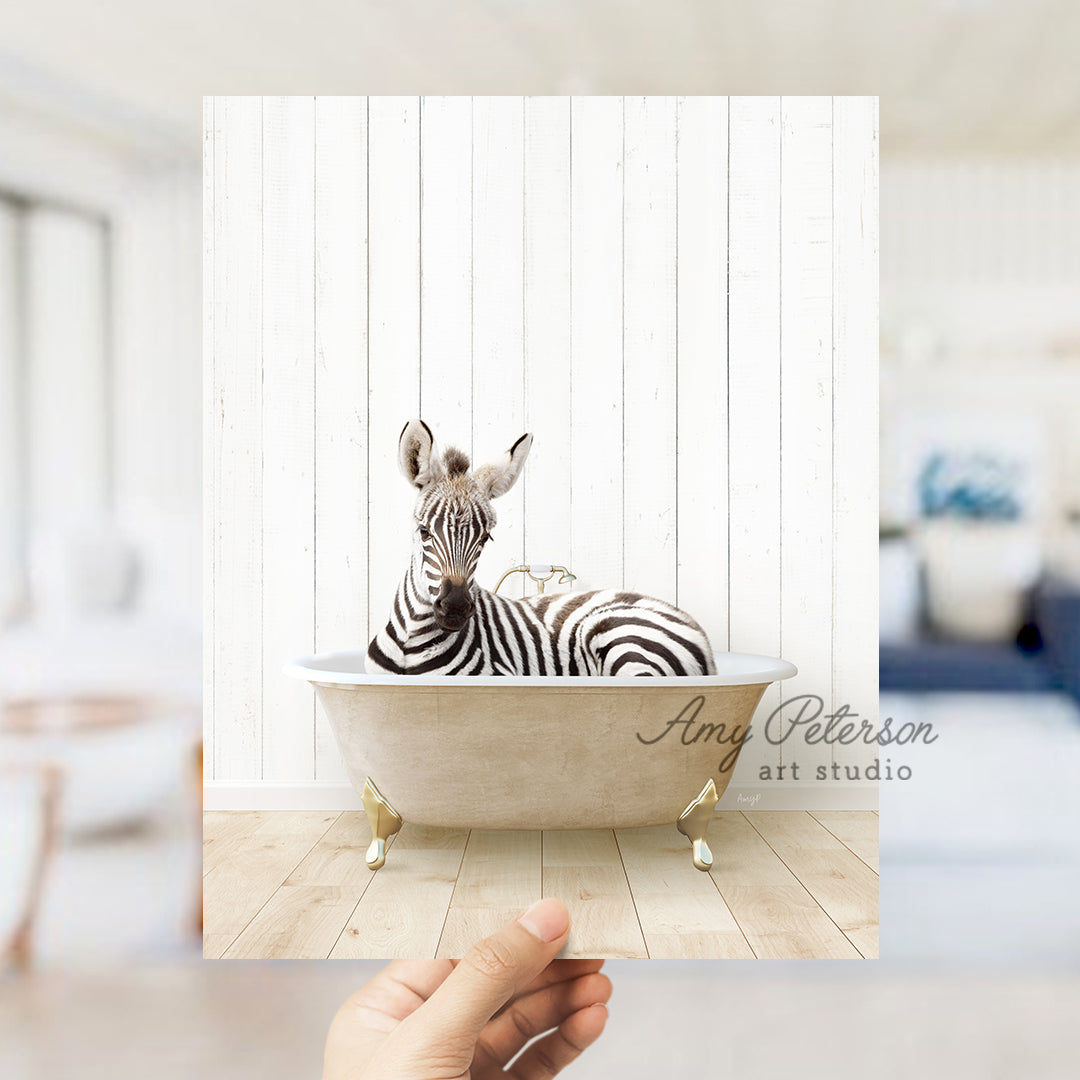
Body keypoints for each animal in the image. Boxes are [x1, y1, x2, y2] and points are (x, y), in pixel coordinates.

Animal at [367, 419, 721, 678]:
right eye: (424, 531)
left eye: (485, 539)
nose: (455, 607)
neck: (411, 641)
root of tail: (699, 635)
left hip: (626, 645)